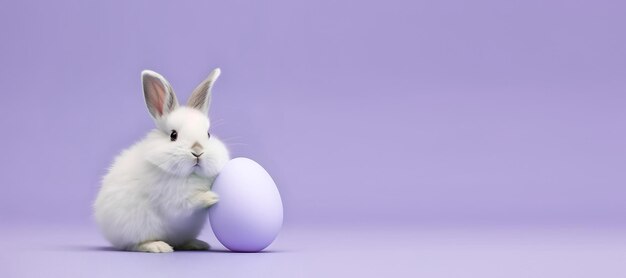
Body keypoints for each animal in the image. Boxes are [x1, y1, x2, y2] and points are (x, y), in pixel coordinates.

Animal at [92, 68, 229, 253]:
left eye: (208, 134)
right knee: (134, 245)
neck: (191, 175)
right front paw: (211, 197)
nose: (197, 152)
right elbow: (188, 202)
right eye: (173, 135)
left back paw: (196, 243)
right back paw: (158, 246)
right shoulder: (173, 200)